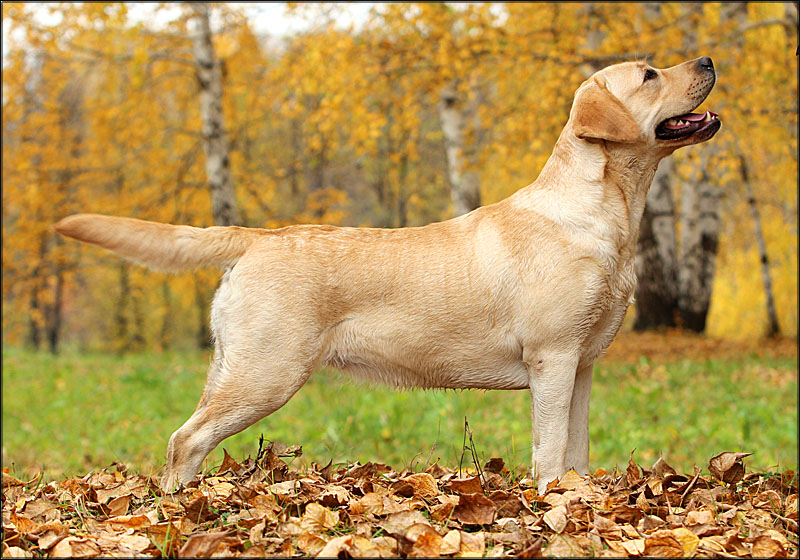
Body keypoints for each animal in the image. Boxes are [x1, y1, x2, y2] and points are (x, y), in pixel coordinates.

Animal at [56, 58, 720, 494]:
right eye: (650, 75)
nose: (708, 59)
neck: (606, 213)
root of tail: (259, 236)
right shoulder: (552, 357)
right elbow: (550, 452)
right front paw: (552, 505)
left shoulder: (580, 364)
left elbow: (576, 450)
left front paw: (578, 502)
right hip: (267, 372)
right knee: (185, 439)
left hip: (234, 366)